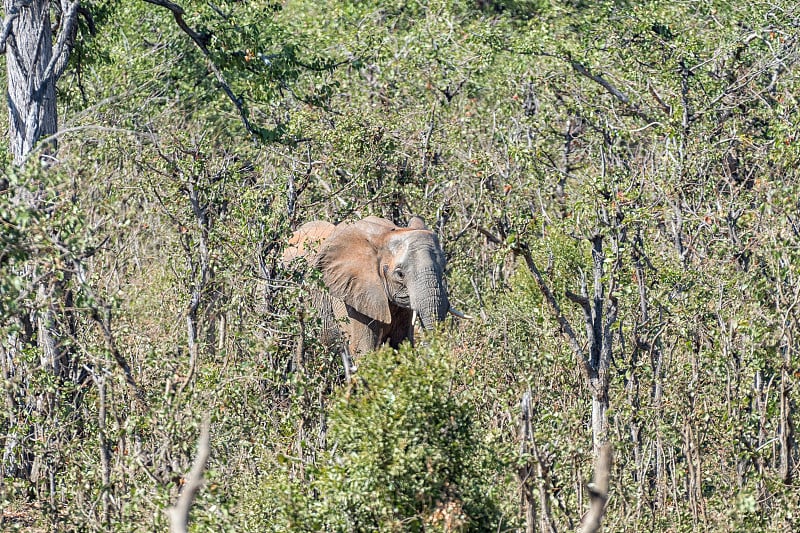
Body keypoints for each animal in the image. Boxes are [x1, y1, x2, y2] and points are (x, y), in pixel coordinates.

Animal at [286, 214, 462, 364]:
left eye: (444, 269)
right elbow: (364, 351)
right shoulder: (350, 296)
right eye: (400, 274)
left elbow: (400, 346)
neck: (385, 235)